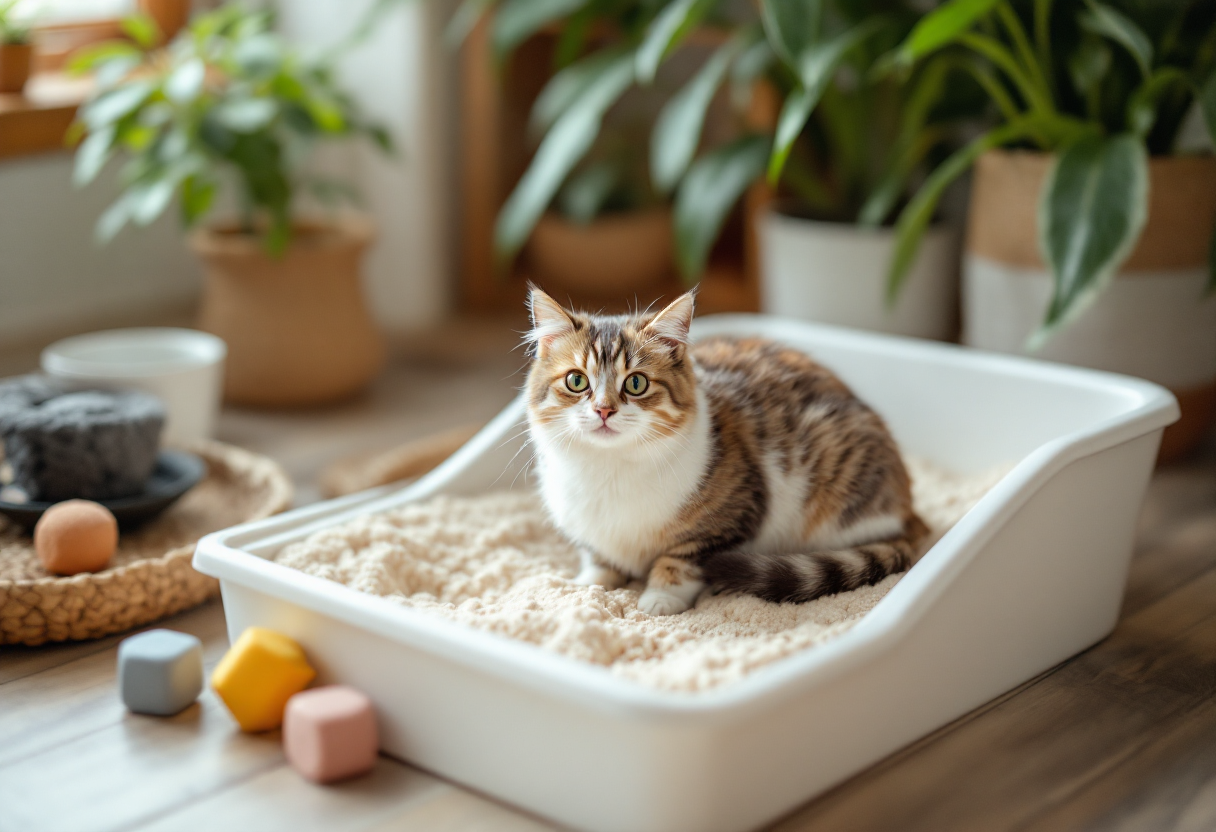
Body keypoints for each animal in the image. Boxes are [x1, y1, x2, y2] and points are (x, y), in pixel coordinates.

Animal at [522, 287, 929, 617]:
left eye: (636, 383)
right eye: (577, 381)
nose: (604, 410)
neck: (610, 469)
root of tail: (909, 510)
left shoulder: (731, 517)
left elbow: (682, 559)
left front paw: (661, 598)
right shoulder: (586, 527)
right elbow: (598, 557)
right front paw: (587, 584)